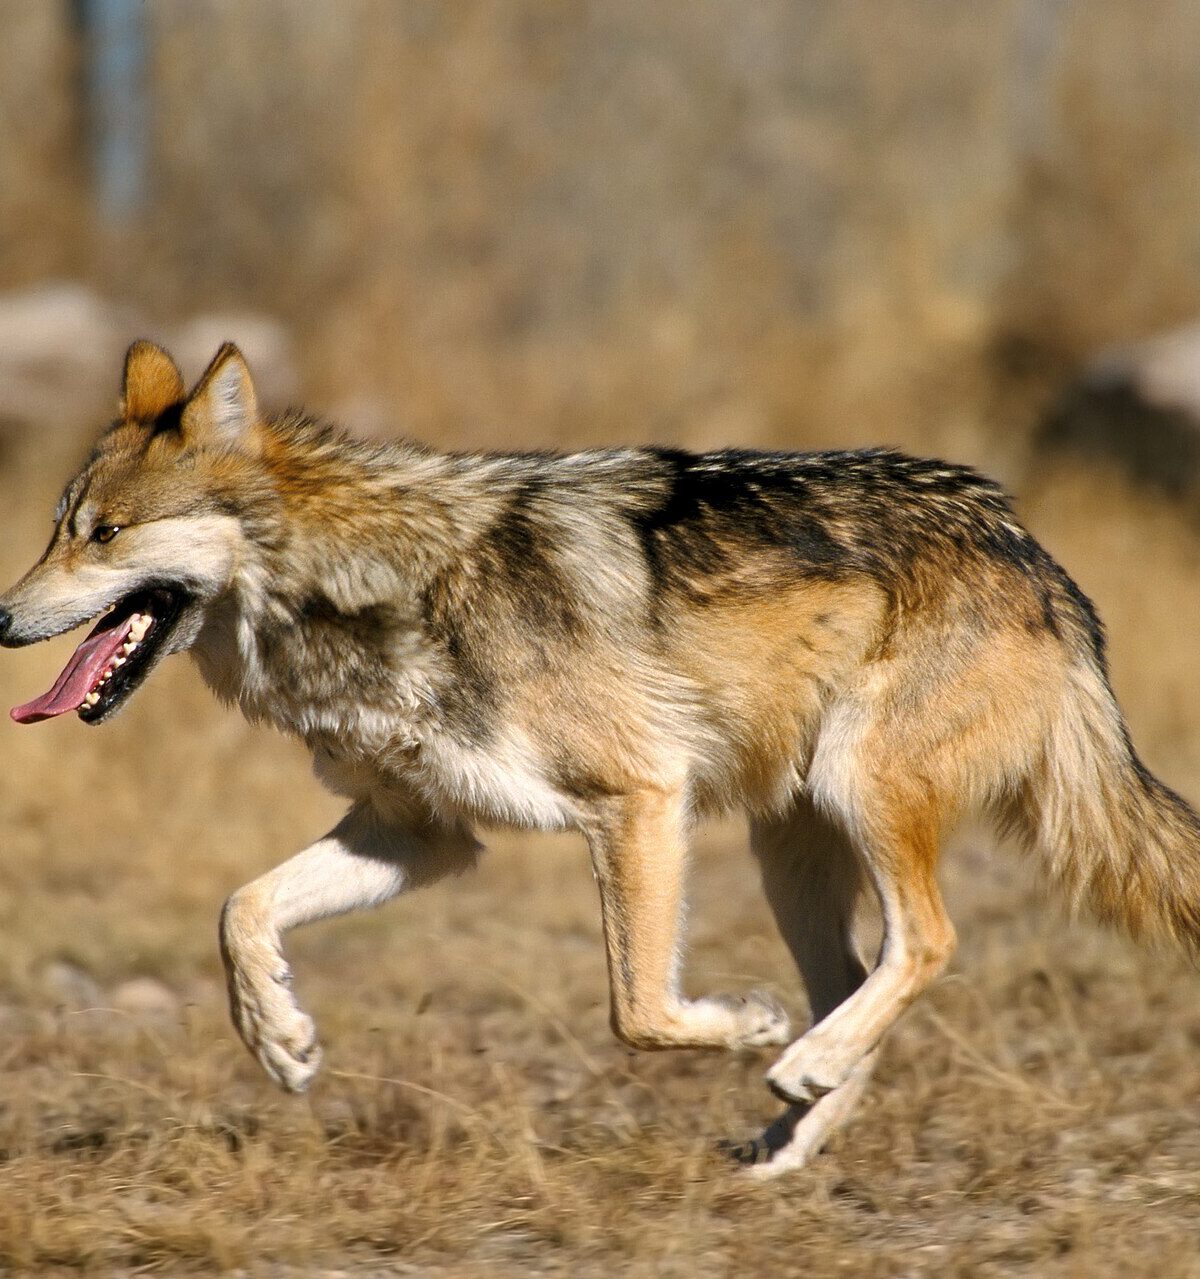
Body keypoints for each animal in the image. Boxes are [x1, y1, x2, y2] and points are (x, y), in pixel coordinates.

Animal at [2, 340, 1198, 1176]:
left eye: (103, 534)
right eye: (61, 526)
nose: (3, 616)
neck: (368, 585)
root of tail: (1034, 553)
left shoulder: (639, 798)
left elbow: (640, 1010)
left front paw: (745, 1023)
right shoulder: (419, 834)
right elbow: (239, 908)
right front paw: (280, 1040)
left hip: (856, 794)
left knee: (927, 944)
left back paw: (799, 1062)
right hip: (789, 852)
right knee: (861, 981)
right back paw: (786, 1148)